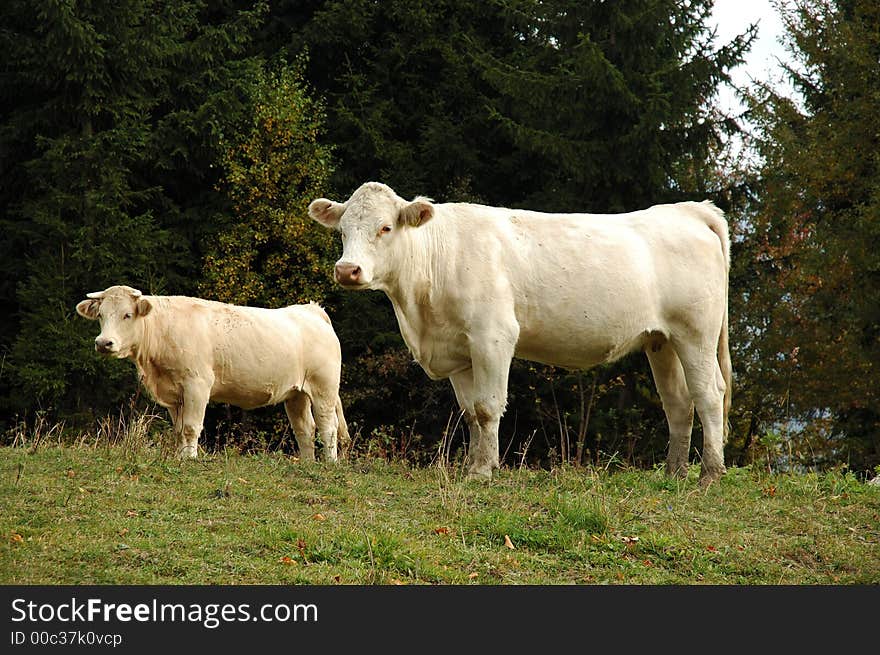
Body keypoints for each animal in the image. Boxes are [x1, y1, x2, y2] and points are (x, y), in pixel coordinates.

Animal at [76, 286, 350, 462]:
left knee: (328, 427)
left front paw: (190, 459)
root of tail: (311, 310)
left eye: (127, 314)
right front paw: (180, 457)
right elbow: (178, 430)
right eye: (100, 315)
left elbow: (190, 427)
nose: (103, 343)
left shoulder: (197, 385)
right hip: (296, 394)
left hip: (324, 388)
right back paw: (308, 464)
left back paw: (330, 463)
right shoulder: (174, 393)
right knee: (305, 429)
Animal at [310, 182, 728, 484]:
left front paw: (482, 472)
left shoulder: (493, 337)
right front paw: (474, 464)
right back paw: (674, 473)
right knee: (678, 403)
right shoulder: (460, 352)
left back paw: (709, 473)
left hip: (696, 334)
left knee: (709, 395)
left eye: (385, 227)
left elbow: (488, 406)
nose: (347, 270)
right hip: (662, 341)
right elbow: (471, 413)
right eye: (343, 231)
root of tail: (688, 209)